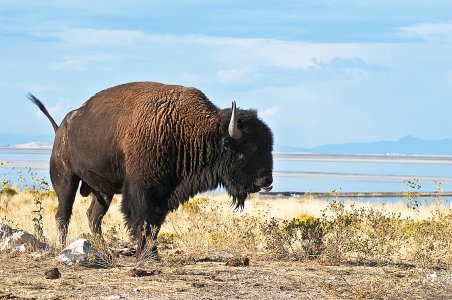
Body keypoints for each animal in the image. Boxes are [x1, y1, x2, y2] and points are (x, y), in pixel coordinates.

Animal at [29, 81, 276, 253]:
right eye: (250, 148)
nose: (267, 180)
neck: (190, 130)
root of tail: (62, 127)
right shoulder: (142, 190)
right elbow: (142, 221)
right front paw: (146, 253)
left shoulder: (164, 194)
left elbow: (155, 224)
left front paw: (151, 251)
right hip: (65, 179)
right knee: (63, 215)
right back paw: (63, 246)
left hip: (103, 191)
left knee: (93, 216)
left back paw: (104, 248)